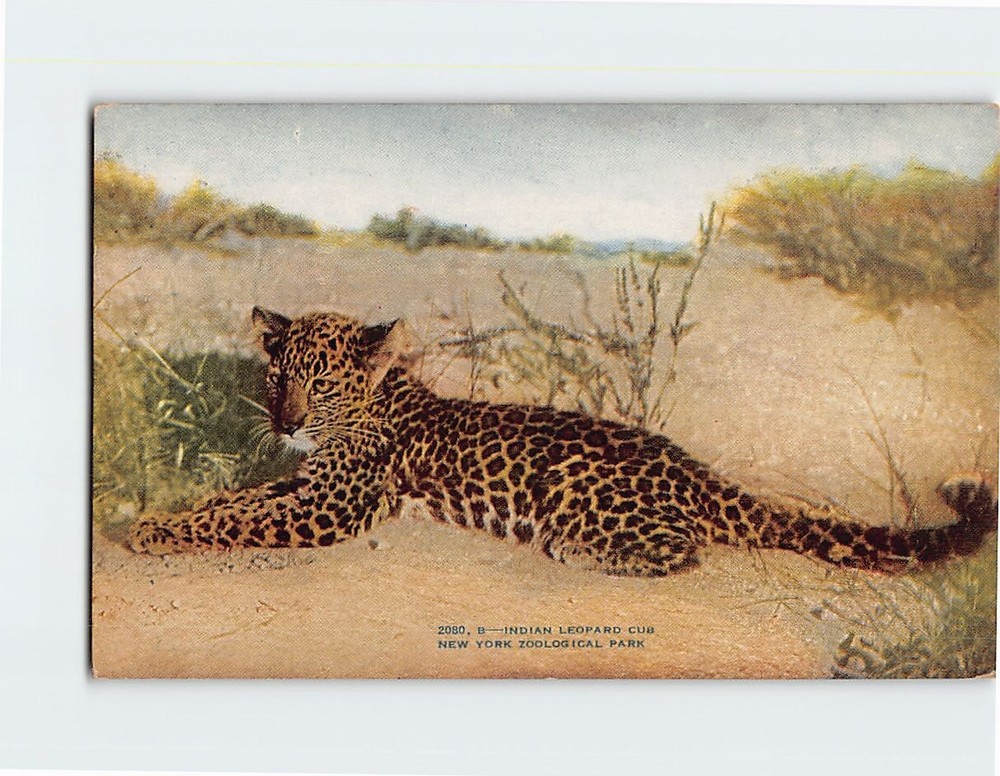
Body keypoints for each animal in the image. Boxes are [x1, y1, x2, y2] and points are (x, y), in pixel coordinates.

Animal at [129, 306, 997, 577]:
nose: (288, 422)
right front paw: (157, 516)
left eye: (326, 383)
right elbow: (232, 501)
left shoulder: (328, 508)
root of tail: (695, 469)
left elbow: (237, 520)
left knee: (683, 549)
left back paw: (580, 551)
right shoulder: (302, 486)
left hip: (584, 490)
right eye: (279, 378)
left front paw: (154, 534)